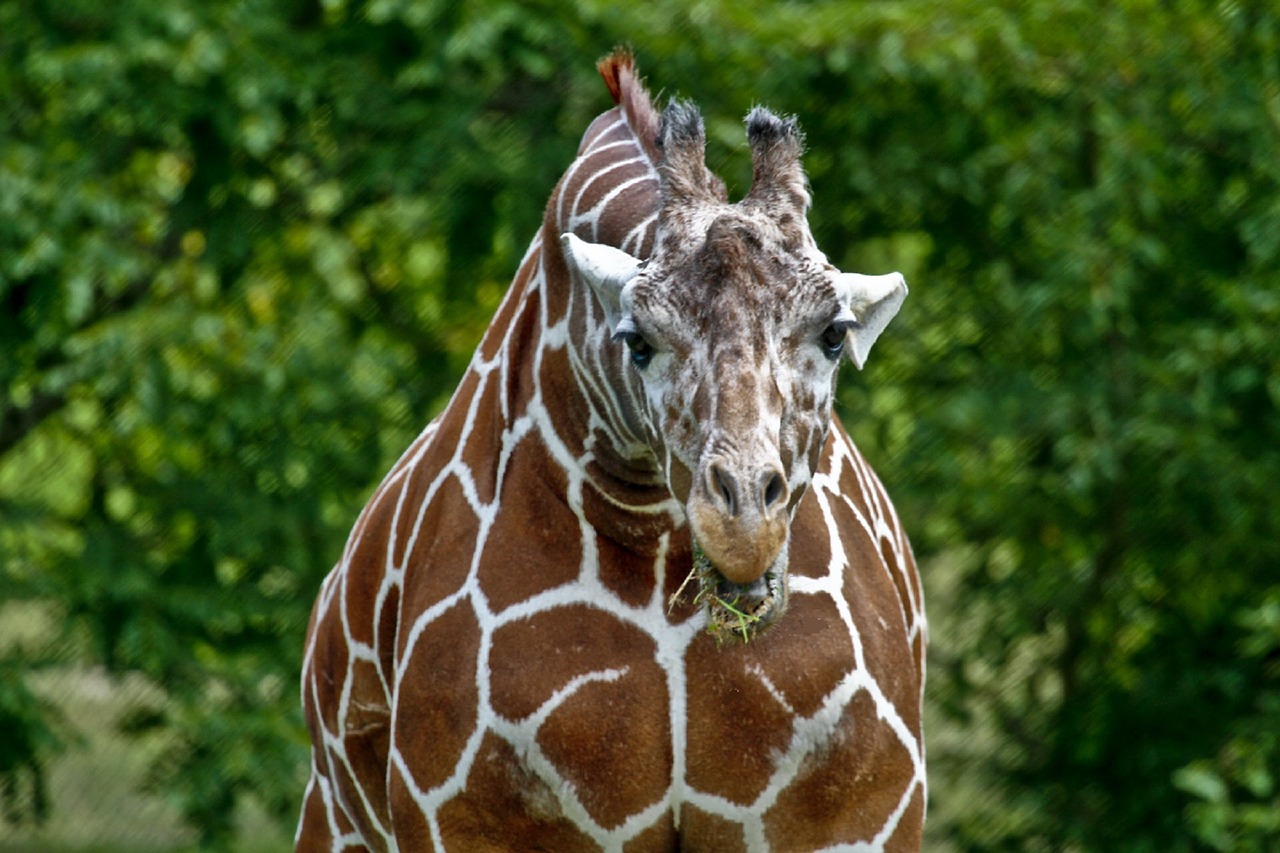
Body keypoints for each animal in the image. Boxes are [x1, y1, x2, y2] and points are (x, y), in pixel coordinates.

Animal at [294, 51, 926, 850]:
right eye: (638, 340)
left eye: (835, 333)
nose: (743, 530)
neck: (654, 543)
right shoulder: (470, 822)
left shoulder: (855, 815)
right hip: (334, 820)